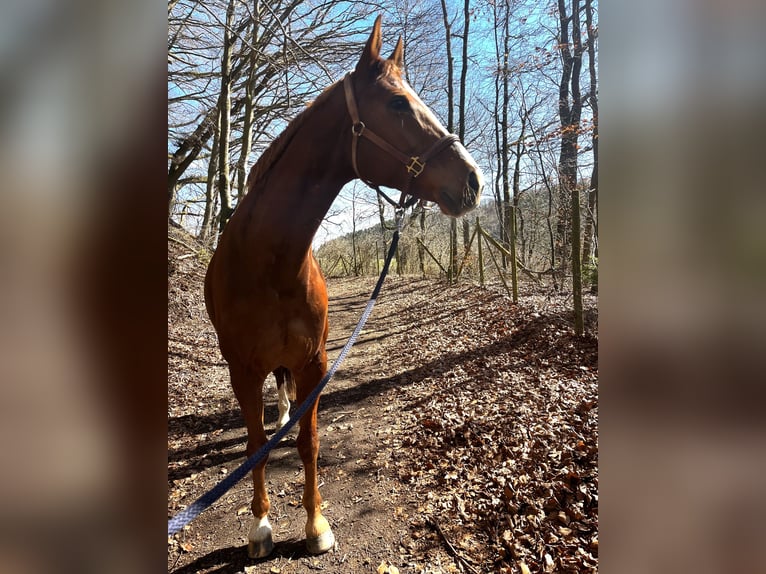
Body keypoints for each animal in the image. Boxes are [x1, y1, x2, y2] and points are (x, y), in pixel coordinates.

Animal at [202, 15, 480, 560]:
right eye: (398, 104)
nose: (473, 181)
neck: (270, 264)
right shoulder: (242, 370)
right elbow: (253, 447)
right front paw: (260, 526)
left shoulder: (315, 362)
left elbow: (309, 443)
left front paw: (315, 525)